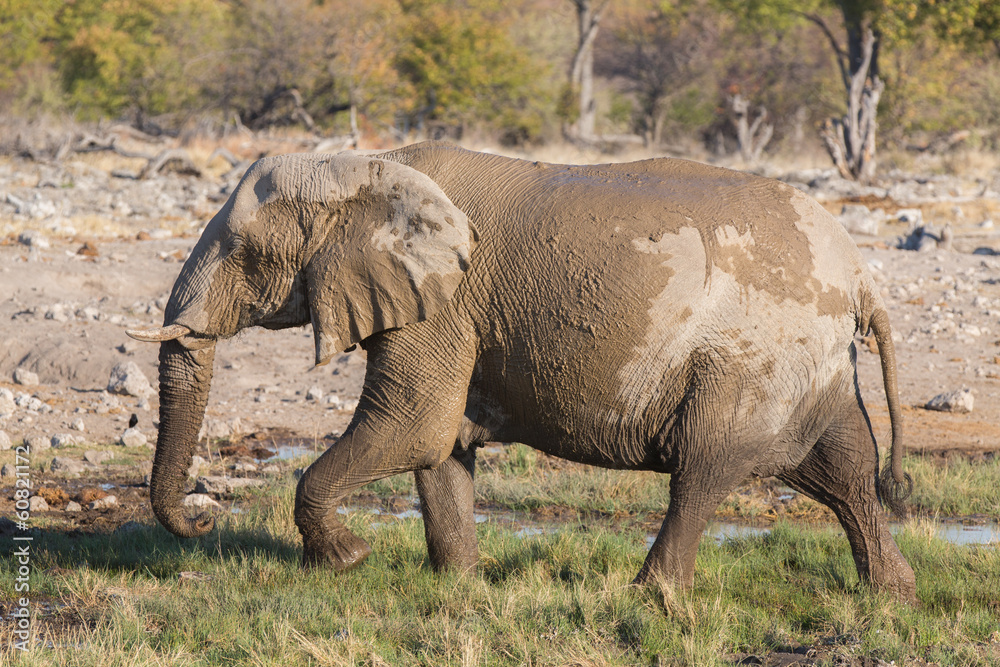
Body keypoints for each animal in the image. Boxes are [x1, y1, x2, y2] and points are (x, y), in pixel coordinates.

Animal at [127, 141, 916, 602]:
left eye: (246, 255)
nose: (203, 519)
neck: (368, 167)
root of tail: (862, 276)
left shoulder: (443, 303)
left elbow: (412, 426)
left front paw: (346, 560)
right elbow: (439, 447)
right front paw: (458, 586)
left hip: (753, 358)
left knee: (703, 470)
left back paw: (649, 600)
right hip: (810, 363)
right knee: (845, 469)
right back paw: (892, 595)